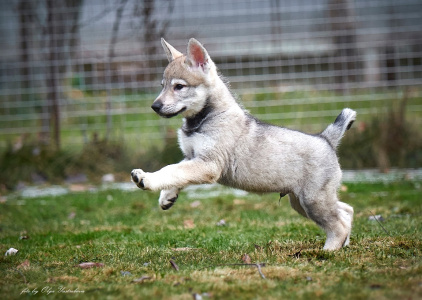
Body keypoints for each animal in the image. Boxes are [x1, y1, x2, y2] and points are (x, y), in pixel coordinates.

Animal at [132, 39, 356, 251]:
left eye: (179, 86)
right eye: (162, 85)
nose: (155, 106)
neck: (206, 118)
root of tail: (326, 138)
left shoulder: (208, 164)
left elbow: (171, 170)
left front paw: (146, 178)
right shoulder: (192, 157)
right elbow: (177, 171)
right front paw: (167, 196)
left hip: (312, 200)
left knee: (338, 224)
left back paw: (328, 251)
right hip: (301, 201)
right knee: (346, 211)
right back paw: (343, 245)